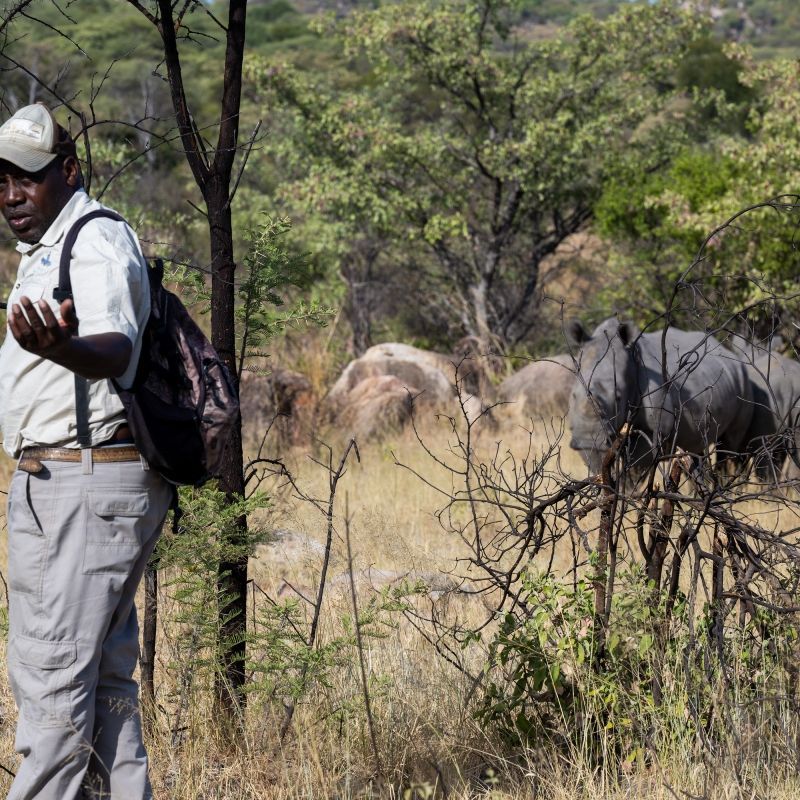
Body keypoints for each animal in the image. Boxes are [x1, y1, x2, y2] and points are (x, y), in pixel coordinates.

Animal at [567, 318, 754, 474]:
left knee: (729, 445)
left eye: (618, 397)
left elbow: (634, 469)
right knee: (694, 447)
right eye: (573, 396)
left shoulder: (653, 430)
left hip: (744, 381)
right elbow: (598, 464)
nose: (586, 440)